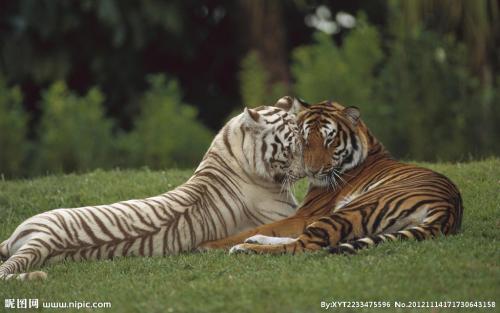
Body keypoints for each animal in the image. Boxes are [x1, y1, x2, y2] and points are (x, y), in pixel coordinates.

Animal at [197, 95, 462, 254]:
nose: (311, 170)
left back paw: (245, 248)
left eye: (329, 140)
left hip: (352, 209)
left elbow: (260, 227)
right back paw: (253, 242)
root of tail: (447, 209)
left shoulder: (305, 215)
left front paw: (209, 245)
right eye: (305, 140)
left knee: (305, 245)